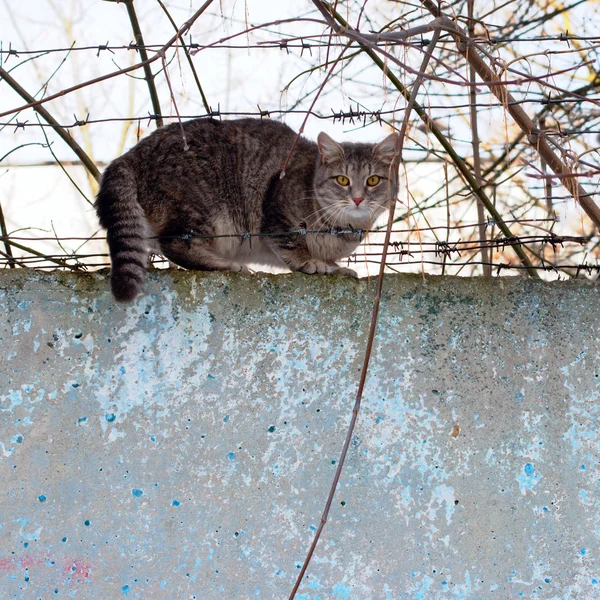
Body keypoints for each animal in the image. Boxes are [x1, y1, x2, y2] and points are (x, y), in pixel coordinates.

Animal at [96, 118, 398, 302]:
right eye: (342, 180)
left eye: (373, 180)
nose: (358, 199)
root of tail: (130, 155)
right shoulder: (276, 212)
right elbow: (291, 242)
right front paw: (309, 261)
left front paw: (335, 268)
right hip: (201, 208)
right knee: (177, 244)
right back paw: (226, 264)